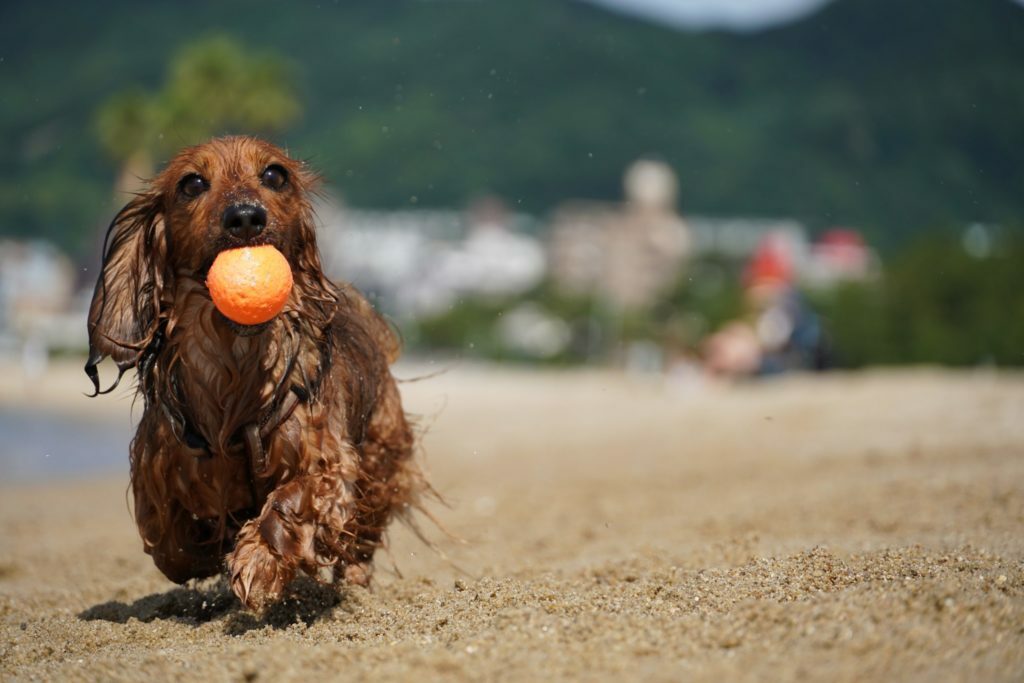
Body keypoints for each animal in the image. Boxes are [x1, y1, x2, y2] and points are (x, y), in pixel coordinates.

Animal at [86, 136, 421, 610]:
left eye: (275, 175)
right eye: (192, 183)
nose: (245, 216)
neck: (234, 358)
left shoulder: (326, 459)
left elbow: (295, 498)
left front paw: (261, 557)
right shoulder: (158, 466)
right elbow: (169, 543)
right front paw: (210, 547)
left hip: (379, 456)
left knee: (363, 533)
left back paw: (353, 575)